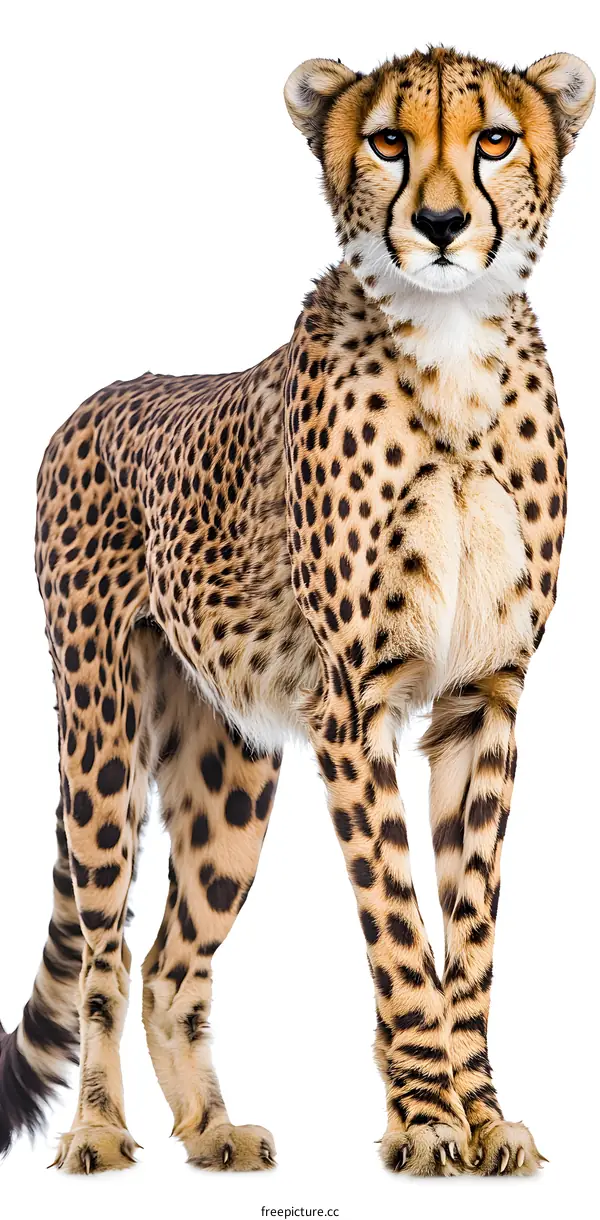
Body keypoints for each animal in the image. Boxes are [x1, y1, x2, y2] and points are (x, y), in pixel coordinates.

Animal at [0, 45, 594, 1178]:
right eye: (389, 140)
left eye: (496, 140)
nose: (442, 224)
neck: (453, 352)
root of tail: (96, 398)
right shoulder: (352, 707)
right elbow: (399, 919)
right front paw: (427, 1120)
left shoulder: (486, 699)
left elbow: (472, 924)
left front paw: (484, 1114)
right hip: (100, 733)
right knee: (104, 947)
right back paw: (96, 1128)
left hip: (229, 769)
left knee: (171, 958)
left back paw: (213, 1127)